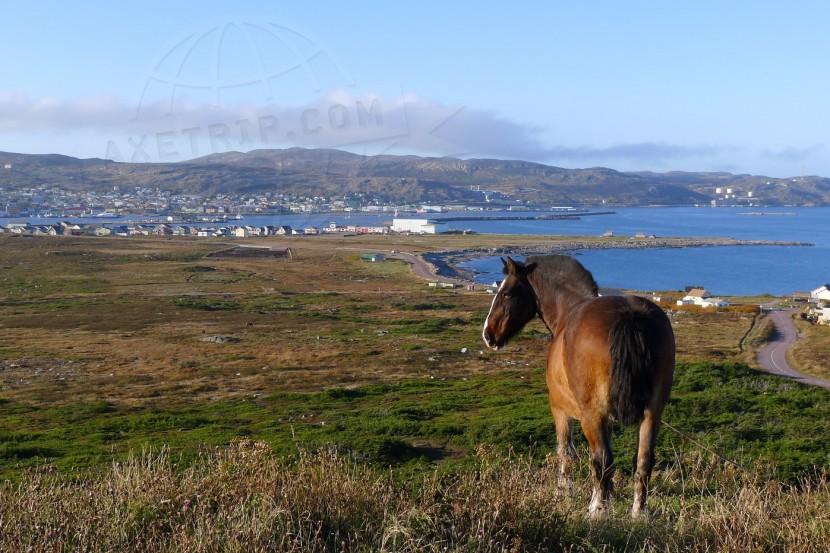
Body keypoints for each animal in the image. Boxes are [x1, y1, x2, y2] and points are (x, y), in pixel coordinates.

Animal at [480, 254, 676, 516]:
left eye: (507, 293)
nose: (488, 334)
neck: (568, 312)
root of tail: (629, 317)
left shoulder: (560, 408)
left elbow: (566, 452)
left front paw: (564, 493)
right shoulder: (608, 420)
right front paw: (604, 496)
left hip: (592, 414)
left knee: (602, 458)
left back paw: (597, 513)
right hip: (652, 413)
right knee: (642, 460)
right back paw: (637, 514)